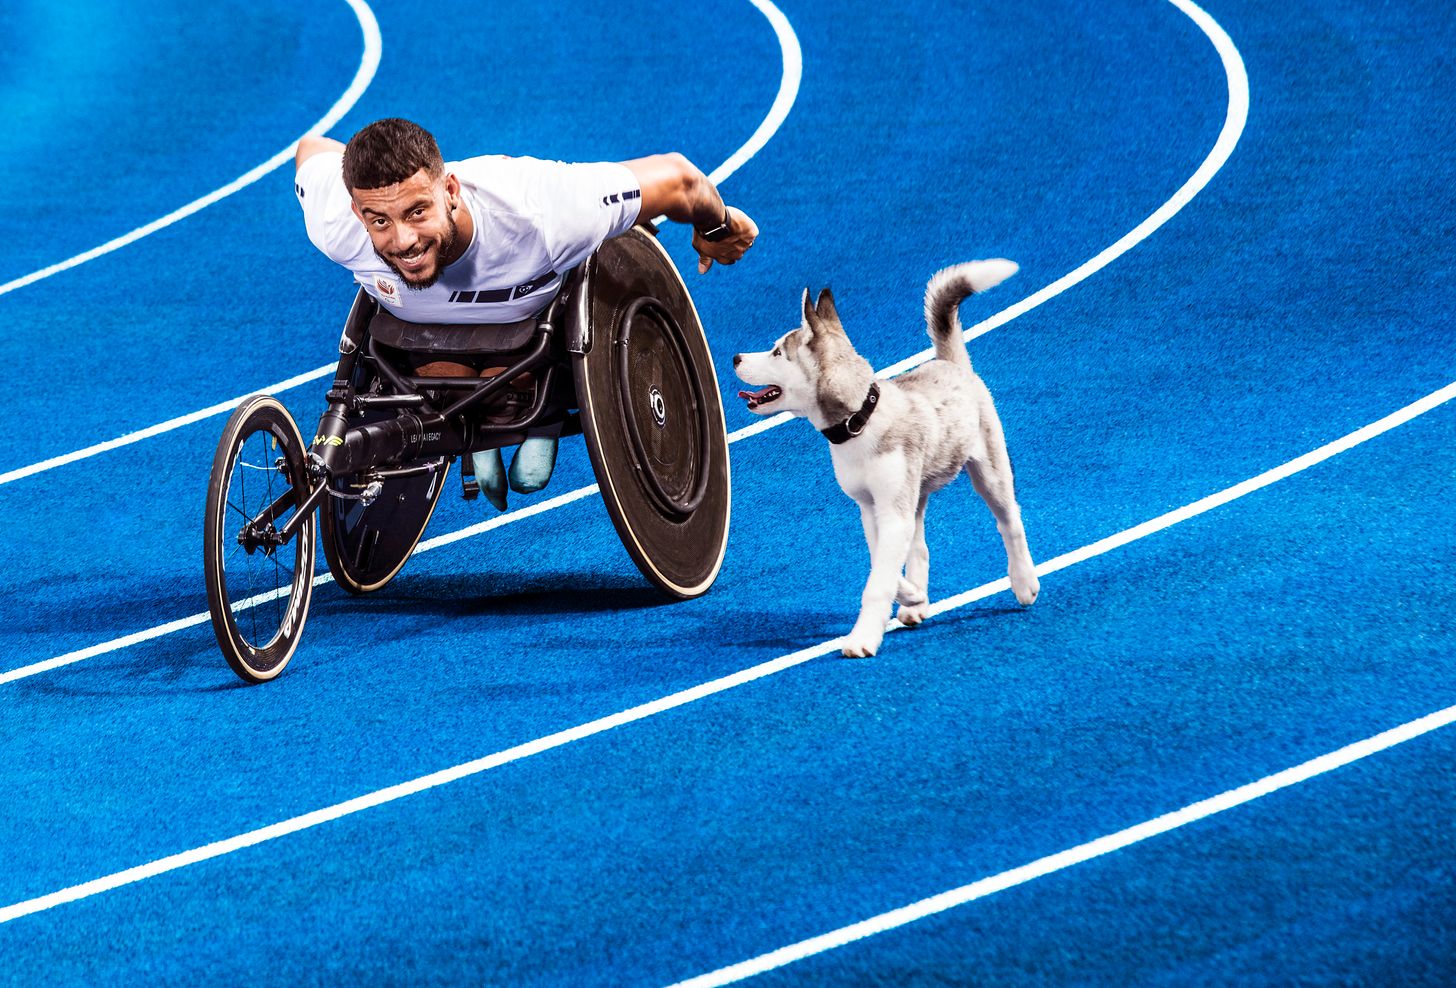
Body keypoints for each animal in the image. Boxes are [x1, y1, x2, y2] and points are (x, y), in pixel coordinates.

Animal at [739, 260, 1036, 657]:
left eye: (776, 353)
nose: (736, 358)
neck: (858, 421)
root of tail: (950, 362)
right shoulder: (871, 508)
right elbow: (884, 564)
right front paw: (913, 595)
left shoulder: (893, 512)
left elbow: (878, 580)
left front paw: (863, 637)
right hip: (916, 493)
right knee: (920, 546)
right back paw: (917, 603)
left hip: (988, 469)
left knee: (1009, 521)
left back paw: (1024, 581)